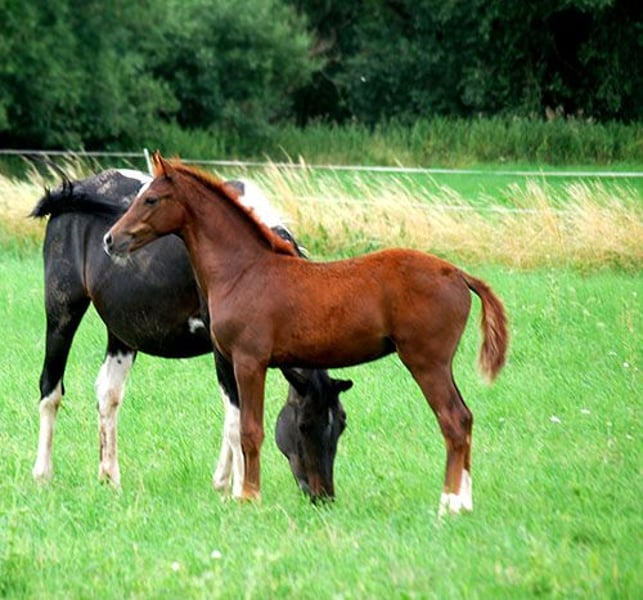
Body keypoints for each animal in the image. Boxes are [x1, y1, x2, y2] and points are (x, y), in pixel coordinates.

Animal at [30, 168, 352, 499]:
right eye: (303, 424)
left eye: (341, 424)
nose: (322, 495)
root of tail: (75, 188)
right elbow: (238, 422)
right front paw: (241, 491)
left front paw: (223, 483)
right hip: (62, 312)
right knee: (50, 389)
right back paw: (43, 474)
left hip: (122, 331)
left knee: (108, 393)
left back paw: (110, 478)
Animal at [104, 152, 509, 514]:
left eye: (151, 199)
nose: (111, 239)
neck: (244, 271)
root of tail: (458, 274)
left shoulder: (249, 362)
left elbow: (250, 430)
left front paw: (249, 497)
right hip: (440, 365)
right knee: (465, 418)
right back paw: (464, 503)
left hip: (426, 362)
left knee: (453, 420)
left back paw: (449, 505)